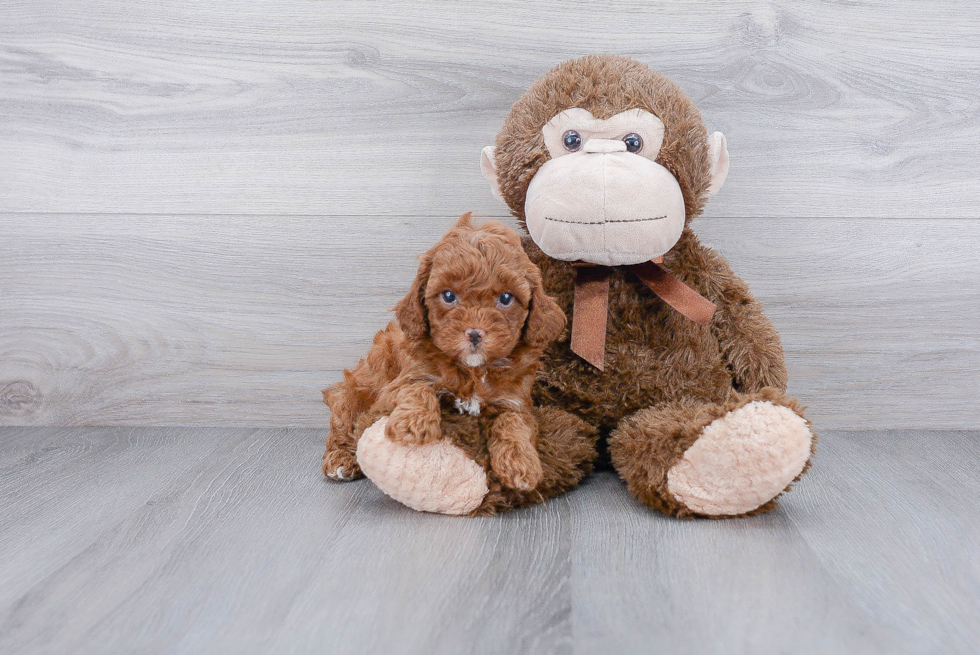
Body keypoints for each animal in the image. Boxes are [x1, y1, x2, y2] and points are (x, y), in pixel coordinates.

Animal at [322, 215, 568, 492]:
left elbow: (513, 423)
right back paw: (341, 460)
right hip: (354, 391)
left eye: (506, 298)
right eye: (448, 295)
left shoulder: (515, 402)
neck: (472, 371)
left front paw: (521, 463)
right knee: (343, 425)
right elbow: (418, 387)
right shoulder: (390, 393)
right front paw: (412, 425)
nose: (474, 333)